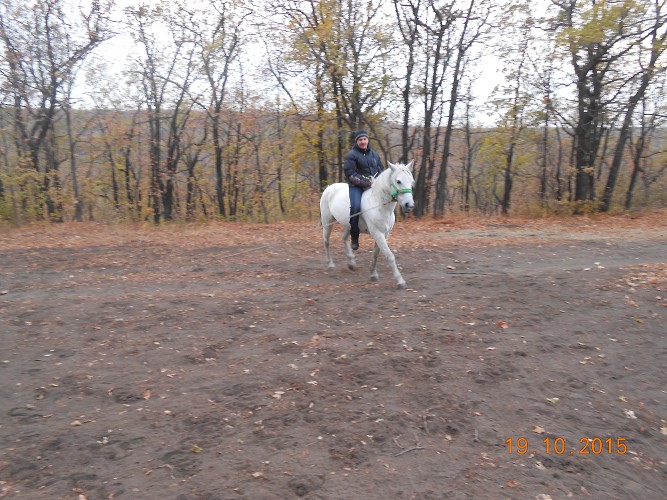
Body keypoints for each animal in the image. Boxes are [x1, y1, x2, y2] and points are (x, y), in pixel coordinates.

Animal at [320, 160, 414, 290]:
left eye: (411, 181)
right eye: (398, 181)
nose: (409, 205)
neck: (378, 203)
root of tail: (329, 188)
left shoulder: (384, 234)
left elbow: (375, 254)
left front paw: (373, 274)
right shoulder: (377, 233)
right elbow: (389, 256)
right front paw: (400, 281)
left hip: (348, 225)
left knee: (344, 238)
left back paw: (351, 263)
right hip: (327, 222)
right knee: (326, 242)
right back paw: (330, 265)